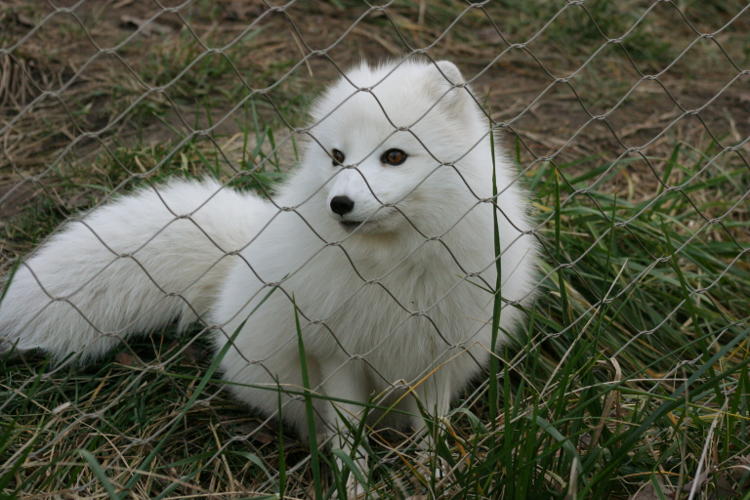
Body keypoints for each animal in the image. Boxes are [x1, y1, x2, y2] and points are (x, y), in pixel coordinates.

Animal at [0, 58, 540, 484]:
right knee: (317, 425)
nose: (339, 203)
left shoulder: (437, 356)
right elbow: (350, 437)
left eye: (394, 156)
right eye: (337, 156)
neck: (388, 267)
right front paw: (355, 487)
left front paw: (437, 479)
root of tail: (239, 261)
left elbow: (432, 433)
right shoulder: (336, 354)